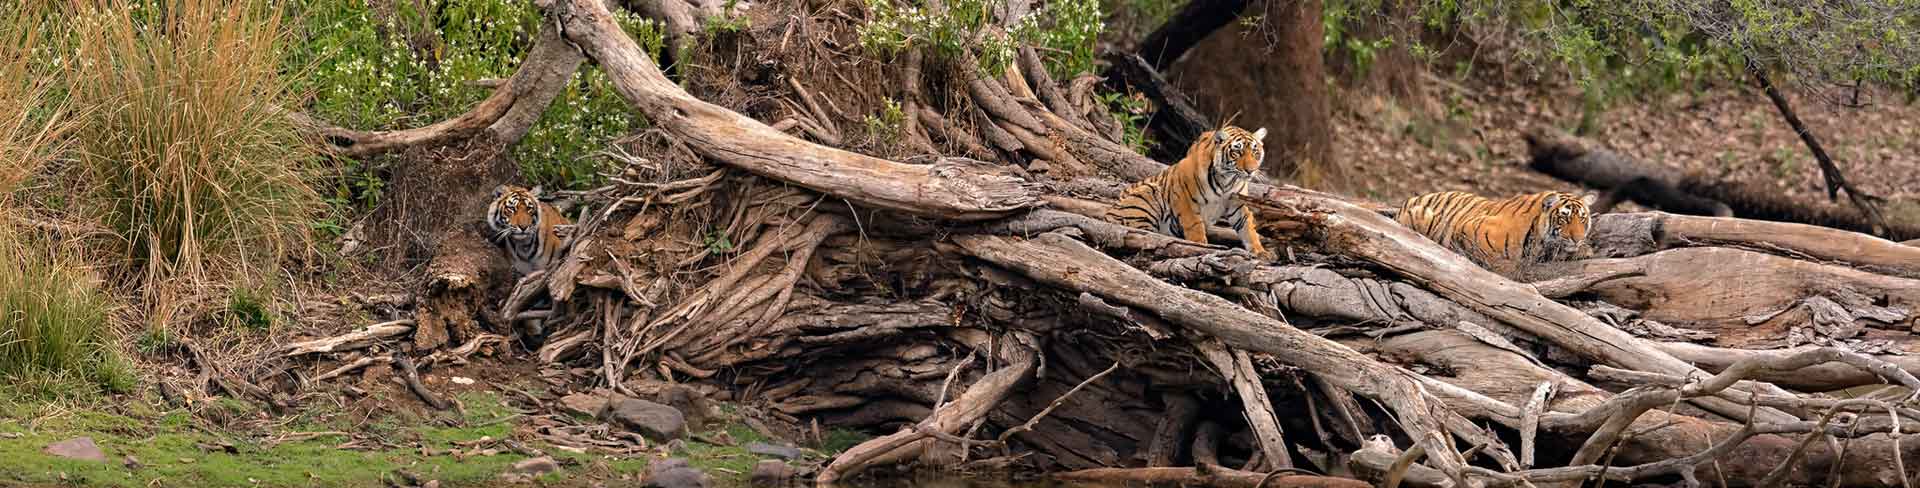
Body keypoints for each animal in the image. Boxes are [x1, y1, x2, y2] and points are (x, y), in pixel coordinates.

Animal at [1113, 123, 1274, 259]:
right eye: (1237, 152)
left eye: (1255, 152)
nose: (1251, 171)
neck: (1227, 180)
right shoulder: (1185, 198)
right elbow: (1194, 225)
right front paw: (1201, 246)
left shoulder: (1238, 205)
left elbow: (1248, 228)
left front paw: (1260, 252)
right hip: (1147, 192)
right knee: (1142, 233)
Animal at [1390, 189, 1597, 272]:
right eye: (1564, 218)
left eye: (1582, 218)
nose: (1577, 239)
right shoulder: (1468, 227)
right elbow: (1489, 256)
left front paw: (1585, 250)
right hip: (1421, 214)